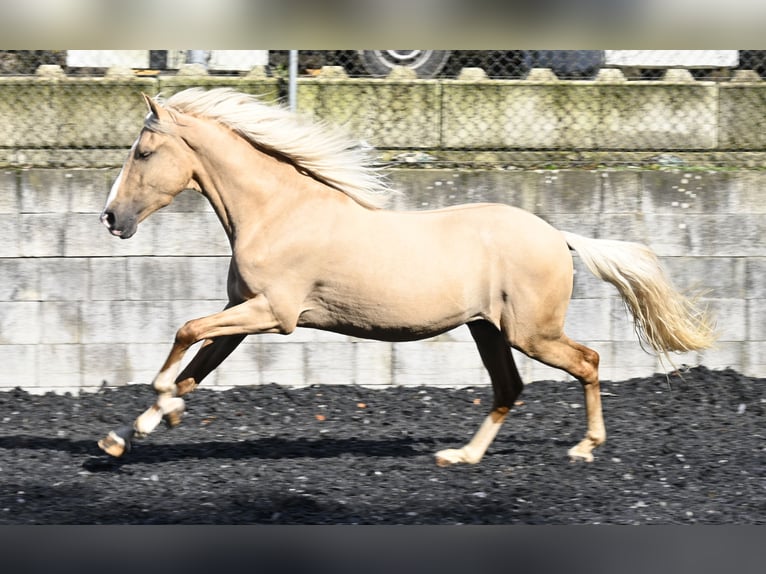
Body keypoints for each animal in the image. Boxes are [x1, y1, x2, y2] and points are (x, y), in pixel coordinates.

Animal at [97, 89, 720, 468]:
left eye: (144, 152)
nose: (110, 218)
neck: (277, 211)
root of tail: (556, 234)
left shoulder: (273, 315)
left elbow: (183, 333)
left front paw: (157, 412)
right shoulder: (242, 318)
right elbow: (192, 371)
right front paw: (124, 436)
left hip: (531, 332)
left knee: (587, 362)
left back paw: (585, 448)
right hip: (487, 329)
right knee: (509, 388)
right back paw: (461, 457)